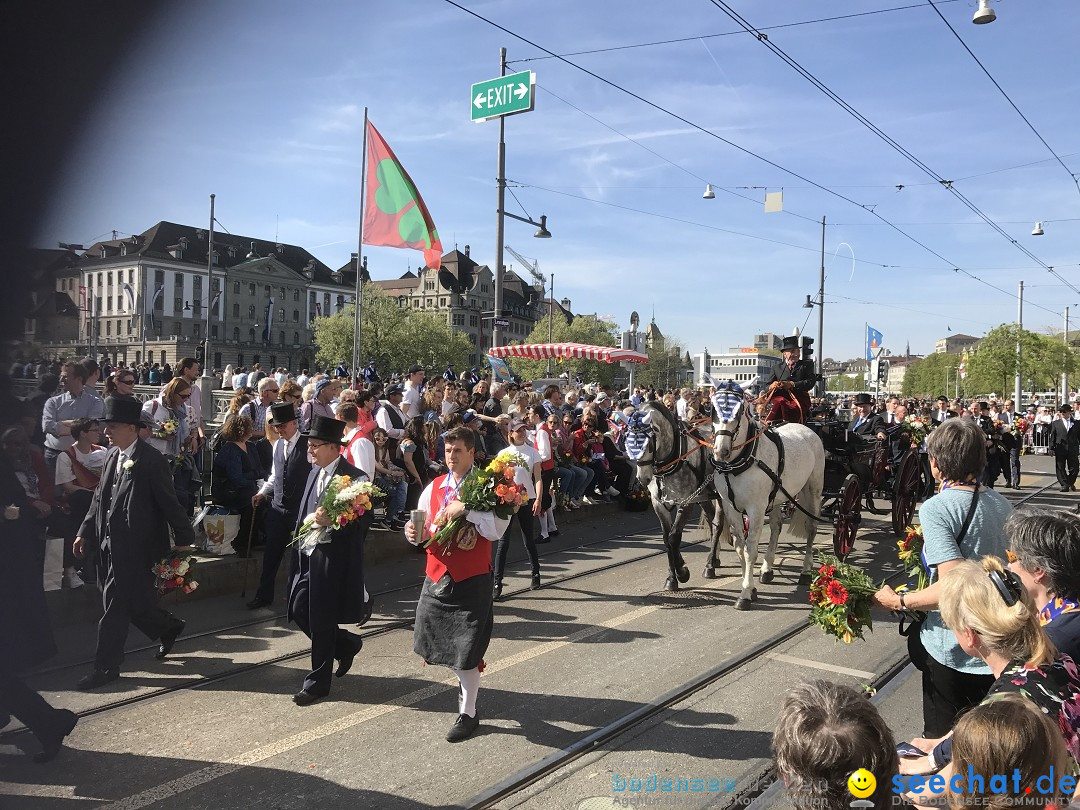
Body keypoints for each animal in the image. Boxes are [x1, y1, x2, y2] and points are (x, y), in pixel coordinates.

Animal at [712, 384, 820, 613]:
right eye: (712, 409)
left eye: (739, 410)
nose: (721, 451)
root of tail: (806, 429)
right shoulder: (730, 506)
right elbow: (739, 547)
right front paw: (751, 587)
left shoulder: (756, 509)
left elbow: (750, 549)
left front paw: (745, 593)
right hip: (778, 495)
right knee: (777, 527)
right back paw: (768, 568)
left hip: (813, 488)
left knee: (812, 528)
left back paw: (806, 570)